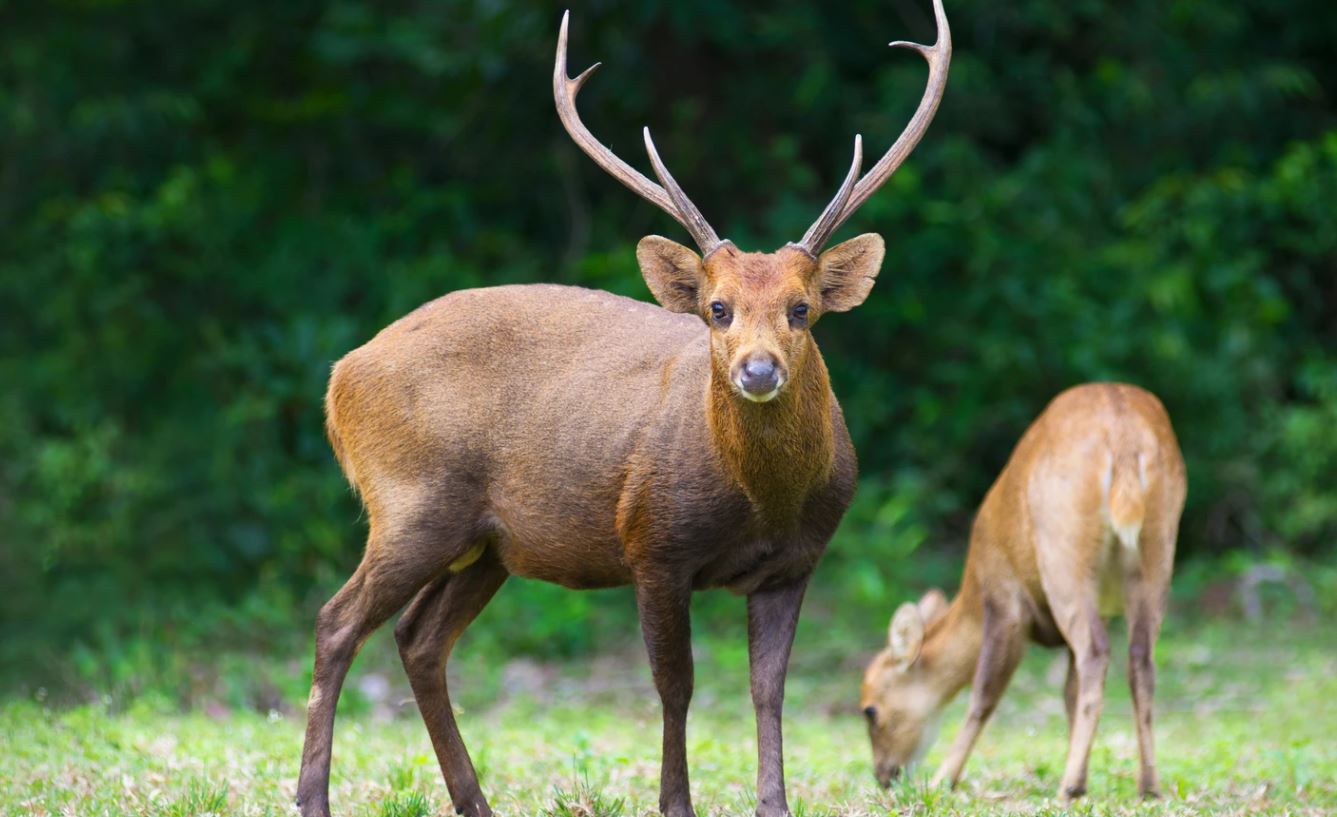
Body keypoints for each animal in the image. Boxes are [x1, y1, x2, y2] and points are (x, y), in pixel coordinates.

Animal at [294, 4, 951, 817]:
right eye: (716, 308)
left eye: (802, 309)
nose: (757, 370)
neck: (761, 501)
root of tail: (340, 377)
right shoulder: (653, 543)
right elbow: (675, 687)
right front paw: (676, 802)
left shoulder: (796, 562)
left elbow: (769, 691)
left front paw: (773, 803)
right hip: (411, 500)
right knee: (336, 621)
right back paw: (313, 797)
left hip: (489, 541)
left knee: (418, 638)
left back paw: (474, 800)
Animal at [860, 383, 1187, 801]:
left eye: (870, 710)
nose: (885, 776)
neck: (973, 590)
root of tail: (1123, 438)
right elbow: (1068, 692)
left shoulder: (1005, 600)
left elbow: (984, 693)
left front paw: (943, 779)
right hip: (1159, 547)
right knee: (1140, 659)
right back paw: (1147, 785)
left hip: (1063, 550)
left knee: (1097, 651)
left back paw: (1071, 785)